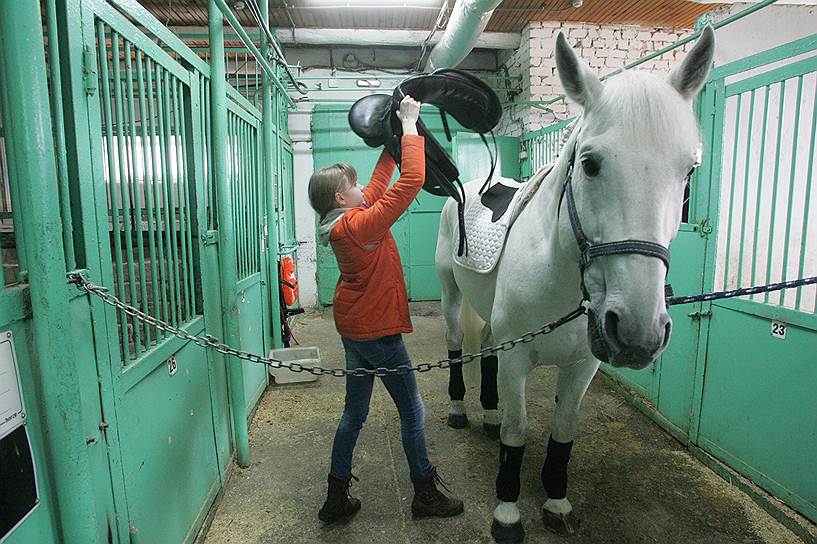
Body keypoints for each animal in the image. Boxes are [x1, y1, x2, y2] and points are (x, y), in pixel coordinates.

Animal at [434, 27, 712, 540]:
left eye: (689, 170)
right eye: (590, 163)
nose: (638, 333)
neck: (559, 279)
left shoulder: (583, 365)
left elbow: (562, 431)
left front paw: (557, 502)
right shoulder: (518, 359)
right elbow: (518, 431)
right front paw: (507, 513)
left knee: (486, 346)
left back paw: (487, 414)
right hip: (451, 294)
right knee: (457, 342)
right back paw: (461, 411)